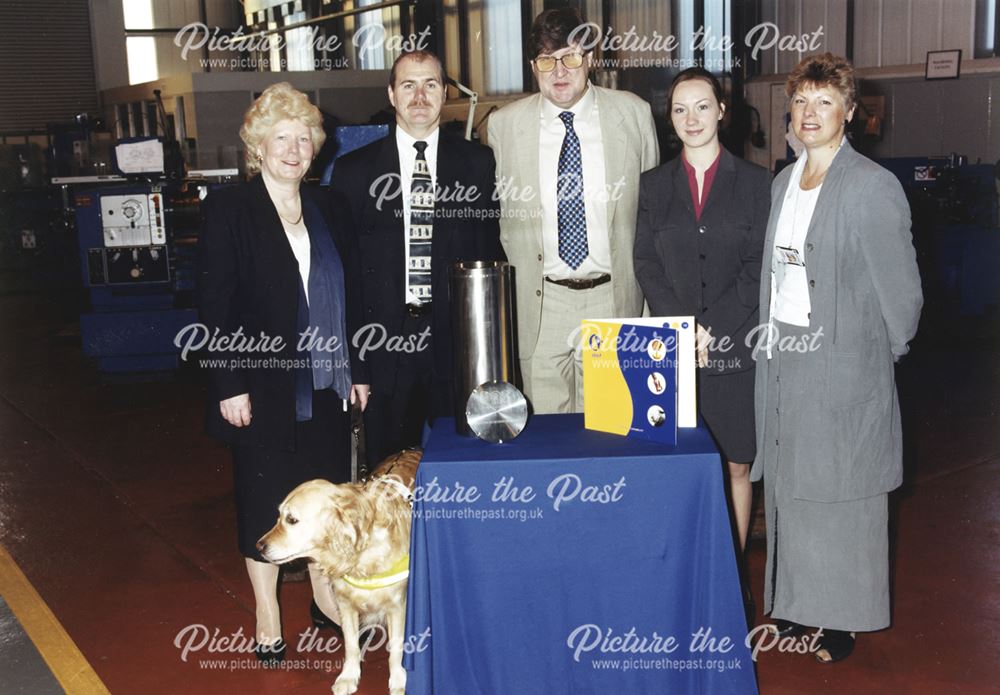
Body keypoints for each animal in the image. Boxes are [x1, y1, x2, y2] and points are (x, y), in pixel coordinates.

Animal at [256, 448, 420, 692]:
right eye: (279, 517)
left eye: (291, 519)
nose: (259, 546)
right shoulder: (345, 603)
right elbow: (351, 645)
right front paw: (348, 677)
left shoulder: (398, 605)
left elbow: (397, 648)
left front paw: (399, 682)